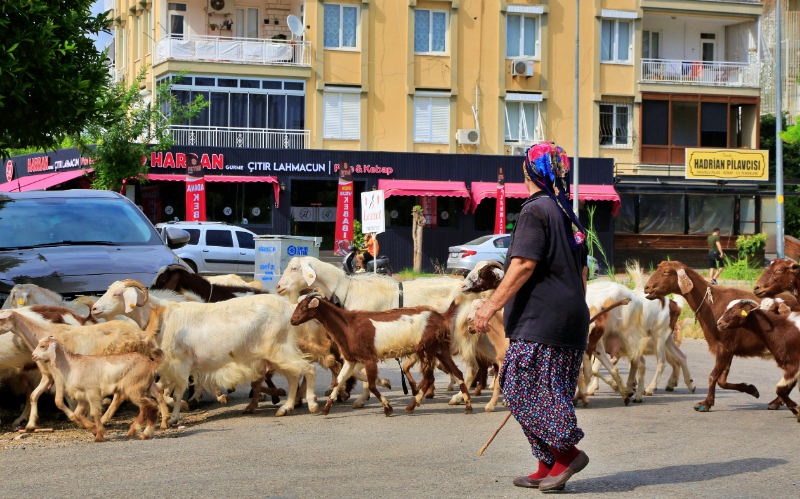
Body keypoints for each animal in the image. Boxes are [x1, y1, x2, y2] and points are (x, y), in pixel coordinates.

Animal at [32, 338, 166, 444]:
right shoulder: (83, 396)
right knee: (153, 405)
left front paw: (100, 435)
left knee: (147, 405)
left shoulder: (93, 393)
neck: (72, 365)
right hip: (145, 387)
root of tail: (151, 363)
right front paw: (93, 429)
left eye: (42, 346)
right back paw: (145, 434)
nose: (33, 356)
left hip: (134, 388)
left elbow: (94, 414)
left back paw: (133, 430)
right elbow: (78, 414)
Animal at [147, 296, 316, 426]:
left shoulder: (180, 366)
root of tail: (288, 307)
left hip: (279, 350)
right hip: (277, 355)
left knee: (309, 369)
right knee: (294, 376)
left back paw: (313, 404)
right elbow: (157, 389)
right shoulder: (169, 371)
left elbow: (177, 393)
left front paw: (172, 419)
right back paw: (285, 408)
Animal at [288, 292, 466, 418]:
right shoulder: (351, 359)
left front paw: (388, 408)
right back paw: (468, 405)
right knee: (457, 373)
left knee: (430, 378)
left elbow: (372, 385)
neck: (348, 325)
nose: (292, 320)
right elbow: (339, 381)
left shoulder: (369, 358)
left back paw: (411, 406)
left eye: (304, 307)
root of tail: (440, 316)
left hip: (426, 349)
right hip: (439, 349)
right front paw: (325, 409)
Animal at [644, 262, 780, 414]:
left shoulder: (724, 346)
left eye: (666, 272)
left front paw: (705, 404)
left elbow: (712, 376)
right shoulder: (727, 349)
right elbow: (722, 381)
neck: (712, 304)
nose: (646, 287)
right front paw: (751, 389)